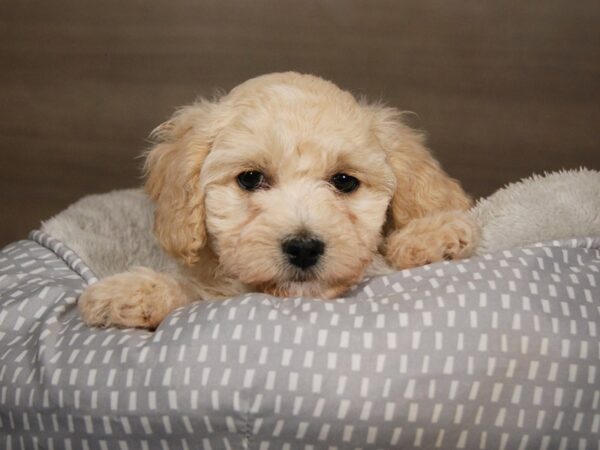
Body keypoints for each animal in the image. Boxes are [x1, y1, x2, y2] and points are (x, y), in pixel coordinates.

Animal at [79, 72, 478, 328]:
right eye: (250, 178)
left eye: (344, 181)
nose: (303, 247)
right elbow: (195, 294)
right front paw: (131, 293)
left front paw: (431, 235)